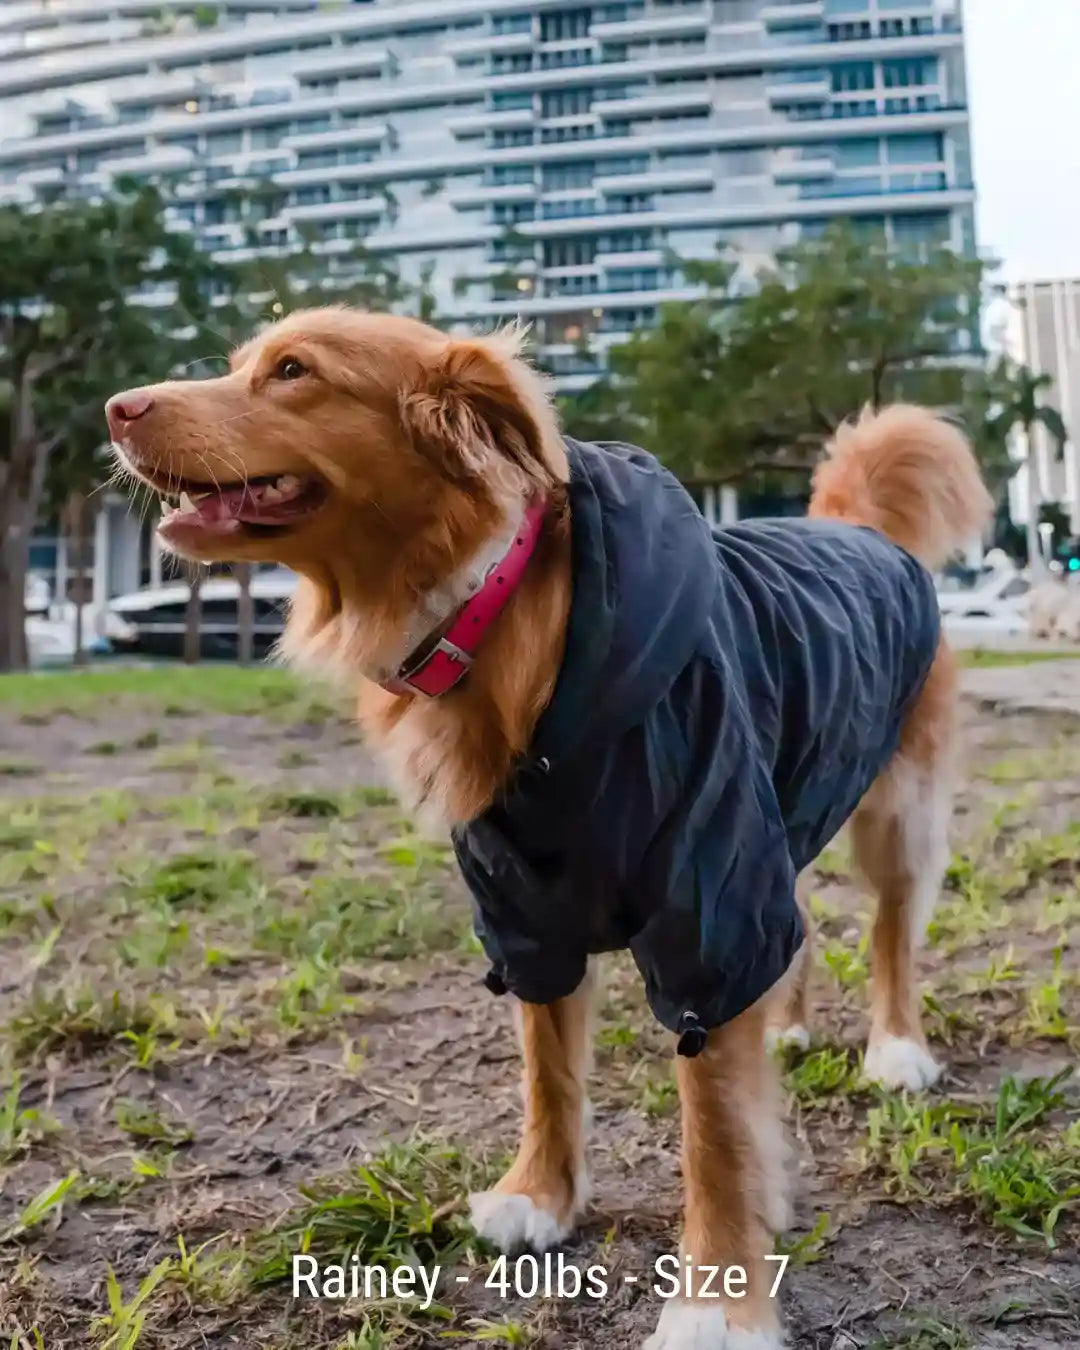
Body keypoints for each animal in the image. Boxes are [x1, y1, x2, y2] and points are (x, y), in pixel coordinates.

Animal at [105, 309, 993, 1350]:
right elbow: (549, 1072)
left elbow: (716, 1126)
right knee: (801, 929)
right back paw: (789, 1027)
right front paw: (540, 1195)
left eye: (291, 372)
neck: (488, 616)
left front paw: (716, 1298)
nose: (117, 407)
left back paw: (896, 1051)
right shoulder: (526, 908)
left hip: (894, 811)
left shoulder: (705, 895)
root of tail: (849, 523)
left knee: (892, 930)